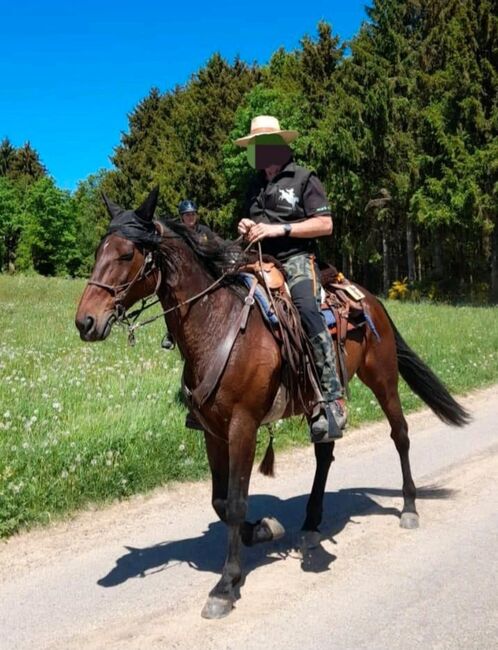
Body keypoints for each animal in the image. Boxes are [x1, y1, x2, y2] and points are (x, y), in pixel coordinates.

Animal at [76, 187, 468, 616]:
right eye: (99, 251)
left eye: (126, 254)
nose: (85, 321)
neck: (218, 323)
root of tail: (370, 299)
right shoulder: (212, 432)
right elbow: (220, 500)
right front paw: (264, 530)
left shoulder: (242, 427)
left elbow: (235, 502)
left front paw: (226, 585)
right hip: (321, 402)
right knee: (325, 452)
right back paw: (311, 525)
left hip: (383, 379)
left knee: (400, 434)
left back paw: (409, 508)